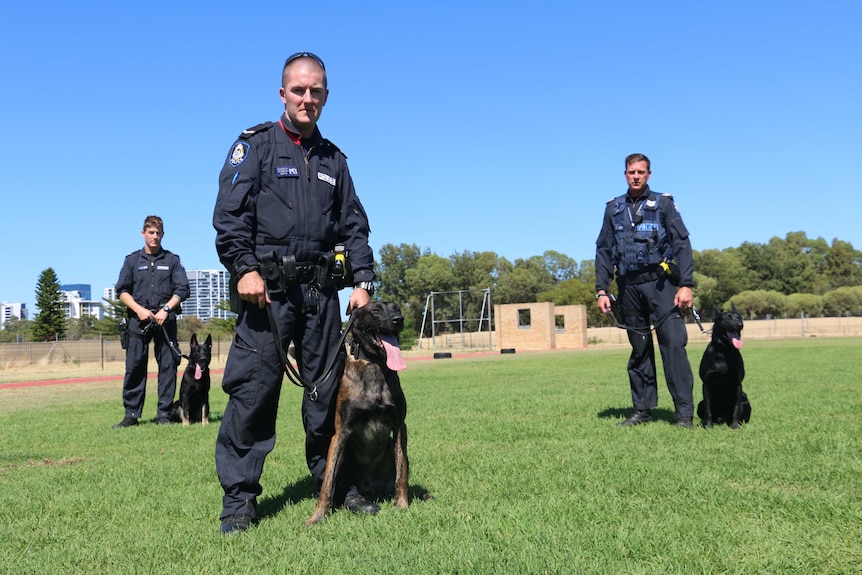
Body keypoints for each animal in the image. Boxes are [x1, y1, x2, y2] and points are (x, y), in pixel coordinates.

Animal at [306, 302, 410, 528]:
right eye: (376, 310)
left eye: (396, 308)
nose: (398, 319)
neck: (375, 364)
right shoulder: (341, 433)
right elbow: (327, 482)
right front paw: (317, 516)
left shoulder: (400, 427)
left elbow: (402, 471)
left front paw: (403, 505)